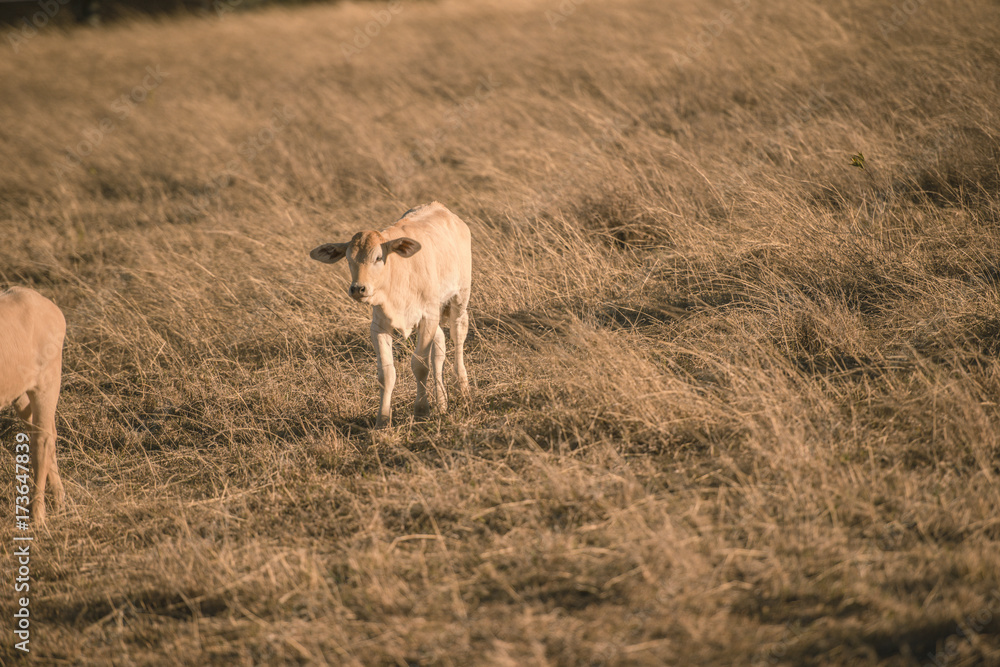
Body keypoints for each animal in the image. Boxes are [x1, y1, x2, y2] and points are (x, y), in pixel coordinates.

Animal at [1, 287, 66, 524]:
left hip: (47, 383)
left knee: (42, 440)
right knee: (47, 434)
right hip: (20, 393)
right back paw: (59, 501)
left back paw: (38, 515)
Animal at [310, 202, 472, 429]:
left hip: (460, 297)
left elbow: (420, 365)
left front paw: (421, 410)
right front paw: (383, 420)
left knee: (458, 337)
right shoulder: (379, 326)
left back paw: (462, 388)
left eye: (378, 257)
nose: (358, 288)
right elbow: (387, 373)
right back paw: (442, 403)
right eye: (349, 259)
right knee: (439, 346)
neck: (398, 275)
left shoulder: (428, 317)